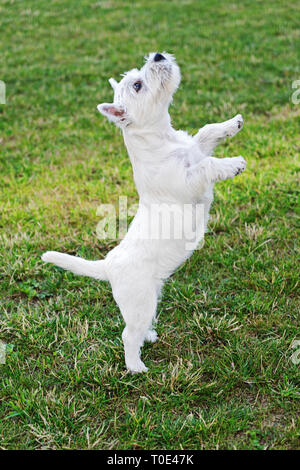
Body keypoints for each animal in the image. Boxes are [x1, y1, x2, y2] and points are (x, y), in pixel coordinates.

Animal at [42, 52, 248, 374]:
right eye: (137, 85)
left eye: (138, 75)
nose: (158, 55)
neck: (163, 140)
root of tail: (107, 265)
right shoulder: (189, 183)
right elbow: (207, 165)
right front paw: (233, 163)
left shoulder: (196, 148)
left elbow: (205, 132)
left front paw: (232, 123)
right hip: (140, 302)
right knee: (128, 334)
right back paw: (136, 366)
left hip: (149, 299)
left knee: (138, 329)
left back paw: (149, 337)